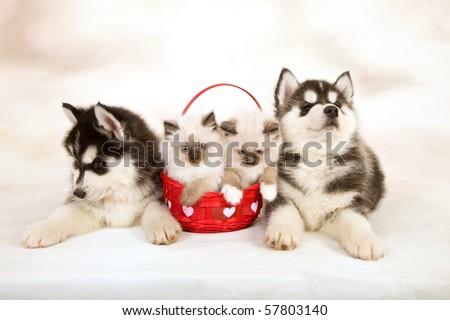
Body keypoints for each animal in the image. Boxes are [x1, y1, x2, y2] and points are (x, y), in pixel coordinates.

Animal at [22, 102, 181, 248]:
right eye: (75, 162)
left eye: (98, 163)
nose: (77, 193)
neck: (121, 191)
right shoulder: (91, 210)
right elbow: (63, 213)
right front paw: (43, 228)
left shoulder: (157, 192)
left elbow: (155, 206)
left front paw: (162, 225)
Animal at [266, 69, 384, 260]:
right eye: (306, 107)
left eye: (337, 104)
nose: (331, 109)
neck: (317, 159)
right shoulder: (281, 195)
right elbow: (284, 212)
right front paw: (281, 232)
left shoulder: (347, 202)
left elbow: (356, 221)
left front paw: (367, 241)